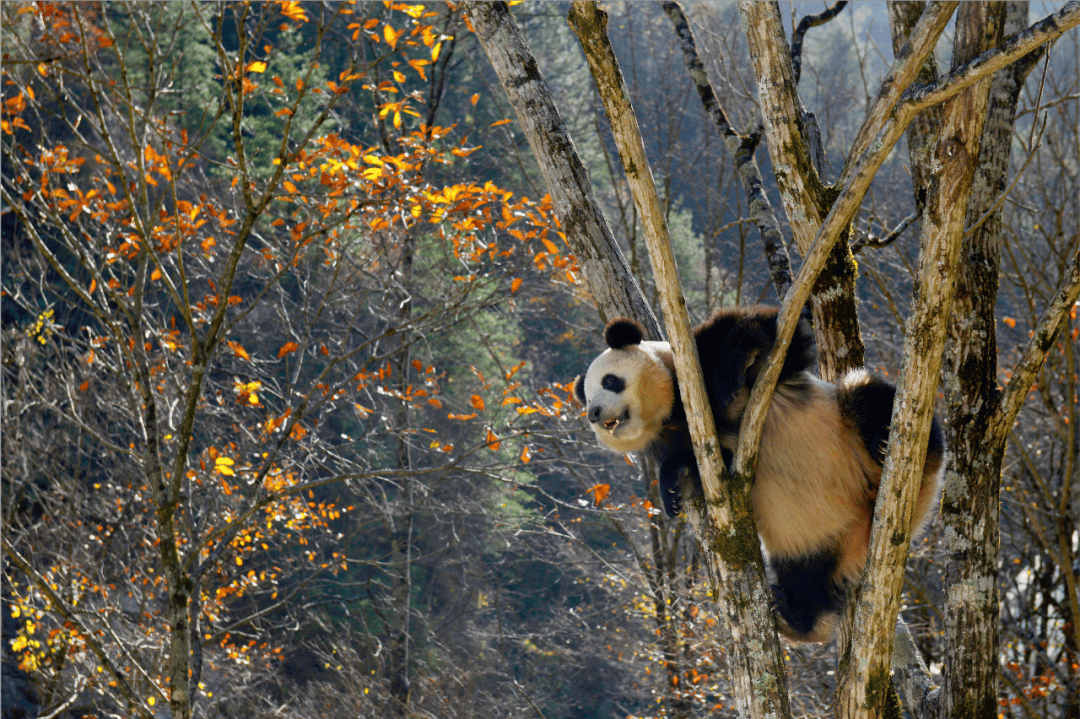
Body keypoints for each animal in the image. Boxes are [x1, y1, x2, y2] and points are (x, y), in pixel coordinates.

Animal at [574, 304, 946, 639]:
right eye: (587, 397)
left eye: (611, 381)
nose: (595, 413)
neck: (674, 409)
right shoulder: (678, 436)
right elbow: (696, 463)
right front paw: (673, 488)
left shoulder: (702, 364)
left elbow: (773, 336)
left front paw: (729, 375)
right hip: (810, 543)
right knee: (805, 578)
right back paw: (795, 618)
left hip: (857, 437)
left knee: (864, 393)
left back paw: (890, 443)